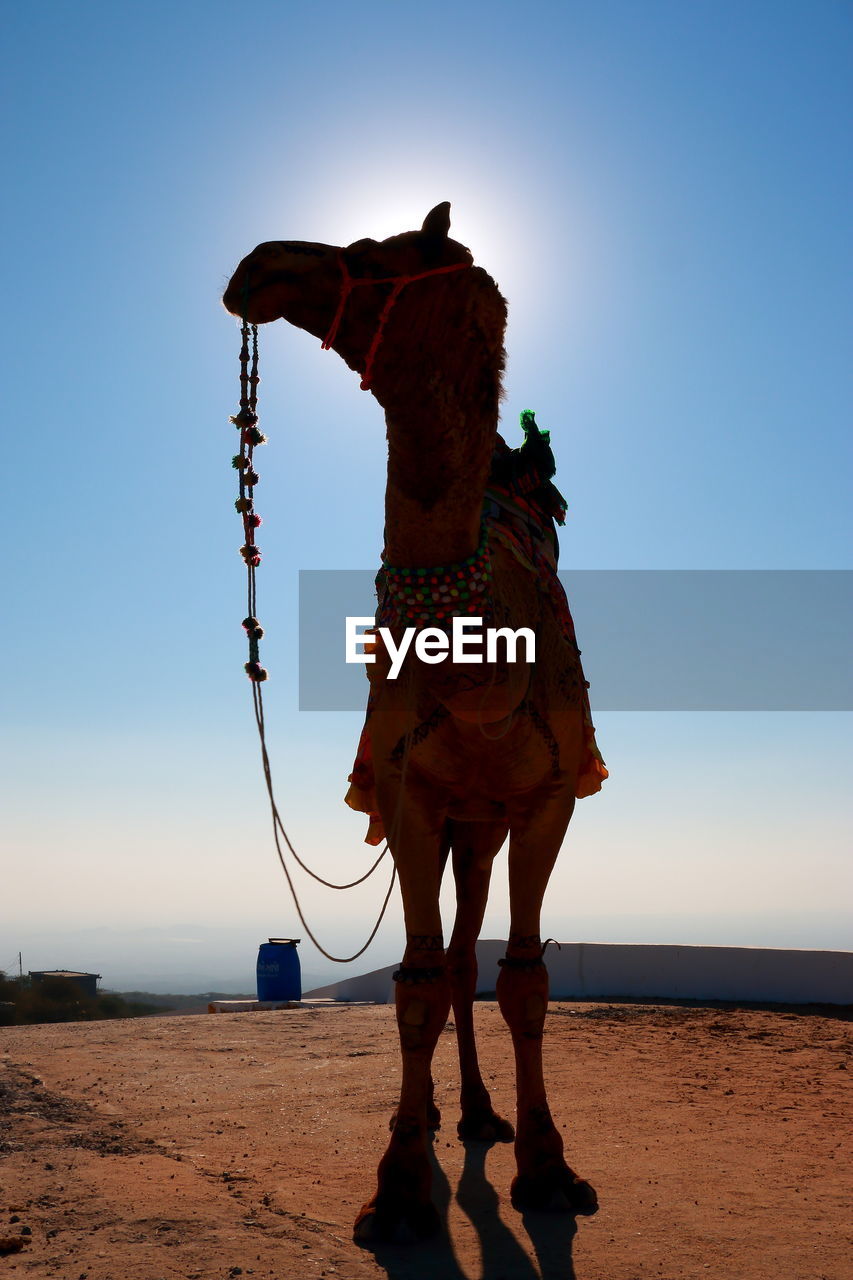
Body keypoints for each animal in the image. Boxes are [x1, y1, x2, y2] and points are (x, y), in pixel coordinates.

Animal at [220, 204, 604, 1244]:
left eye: (370, 255)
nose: (257, 264)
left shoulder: (548, 798)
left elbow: (522, 978)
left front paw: (548, 1167)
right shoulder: (409, 794)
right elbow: (416, 983)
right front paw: (394, 1187)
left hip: (484, 825)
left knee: (470, 957)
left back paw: (475, 1112)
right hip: (426, 820)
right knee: (428, 963)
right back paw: (433, 1112)